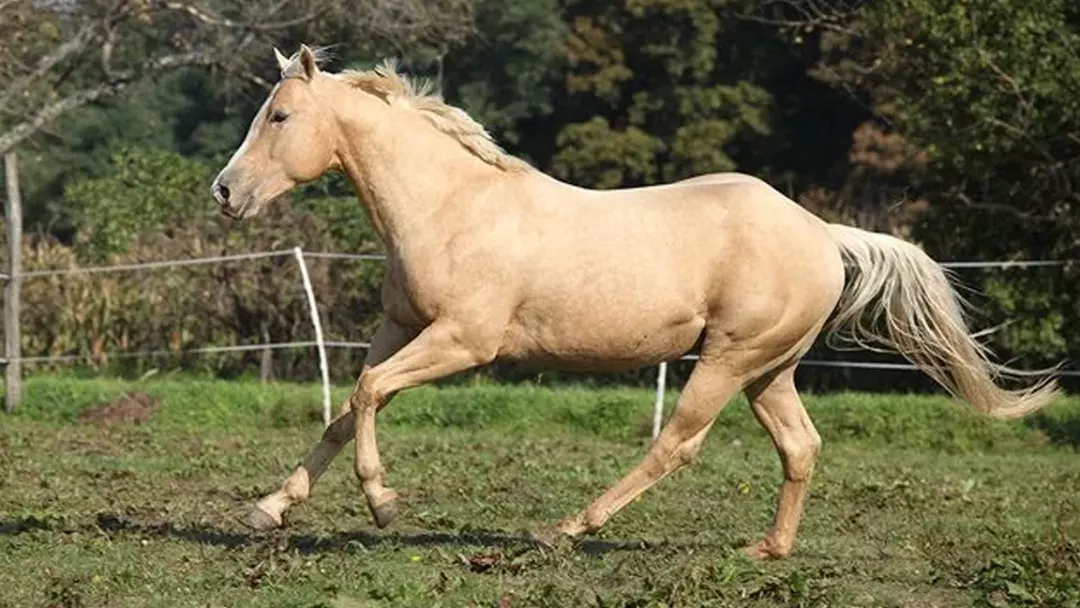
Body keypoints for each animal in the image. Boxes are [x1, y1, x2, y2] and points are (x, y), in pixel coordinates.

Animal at [210, 46, 1054, 561]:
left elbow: (366, 393)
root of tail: (822, 232)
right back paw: (767, 550)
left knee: (676, 443)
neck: (453, 206)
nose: (224, 192)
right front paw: (269, 508)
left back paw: (566, 529)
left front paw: (382, 503)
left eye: (279, 116)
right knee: (801, 446)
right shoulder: (401, 327)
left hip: (729, 360)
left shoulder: (463, 341)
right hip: (769, 371)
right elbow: (346, 407)